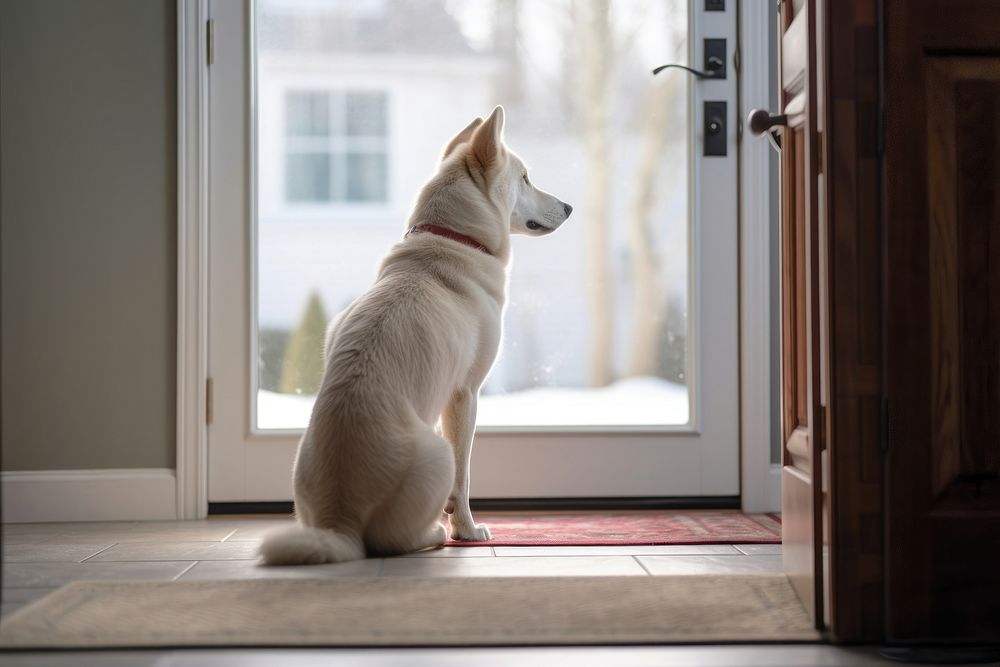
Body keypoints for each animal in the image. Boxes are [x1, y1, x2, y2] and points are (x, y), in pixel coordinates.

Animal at [258, 105, 572, 564]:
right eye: (526, 177)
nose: (569, 207)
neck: (453, 239)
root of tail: (340, 518)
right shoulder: (465, 395)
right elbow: (464, 477)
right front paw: (467, 530)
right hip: (437, 453)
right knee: (396, 540)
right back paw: (436, 533)